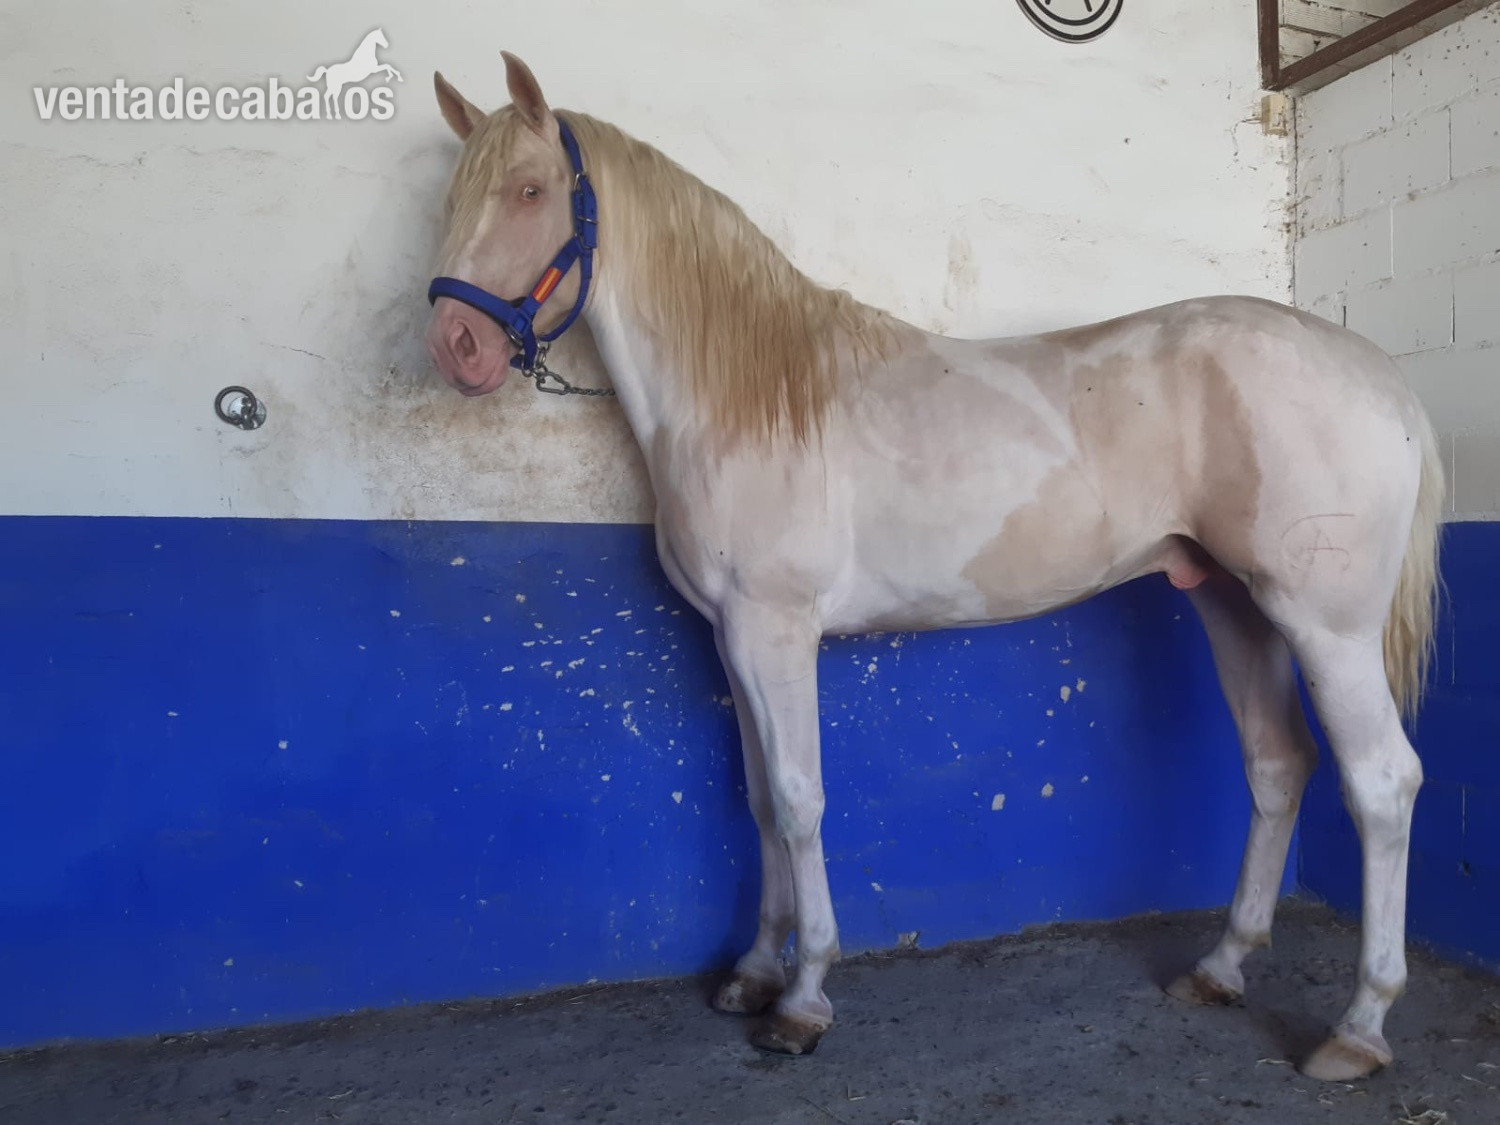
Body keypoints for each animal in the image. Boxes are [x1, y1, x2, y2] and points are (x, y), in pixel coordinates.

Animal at [420, 52, 1444, 1083]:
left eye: (530, 190)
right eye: (455, 194)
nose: (456, 348)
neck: (749, 400)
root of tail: (1383, 378)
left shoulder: (775, 629)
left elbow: (798, 799)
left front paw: (801, 999)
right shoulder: (733, 639)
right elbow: (757, 800)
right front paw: (752, 972)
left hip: (1326, 626)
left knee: (1382, 783)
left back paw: (1359, 1025)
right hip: (1234, 605)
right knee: (1277, 763)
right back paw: (1221, 966)